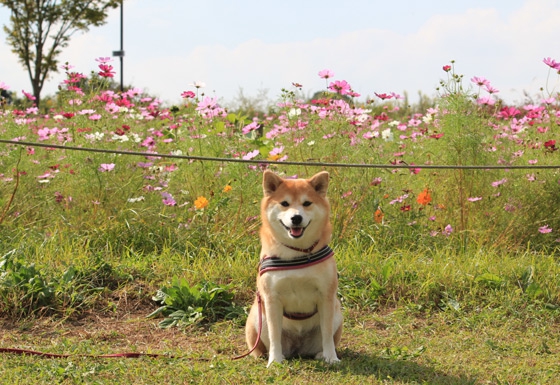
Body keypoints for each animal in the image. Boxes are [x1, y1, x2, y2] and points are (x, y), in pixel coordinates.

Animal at [245, 170, 342, 366]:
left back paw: (321, 354)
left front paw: (331, 357)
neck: (296, 253)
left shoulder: (326, 296)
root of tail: (297, 348)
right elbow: (274, 335)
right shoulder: (272, 298)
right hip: (257, 317)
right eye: (284, 203)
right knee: (261, 346)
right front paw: (274, 360)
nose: (296, 218)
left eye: (307, 203)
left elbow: (327, 333)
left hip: (337, 311)